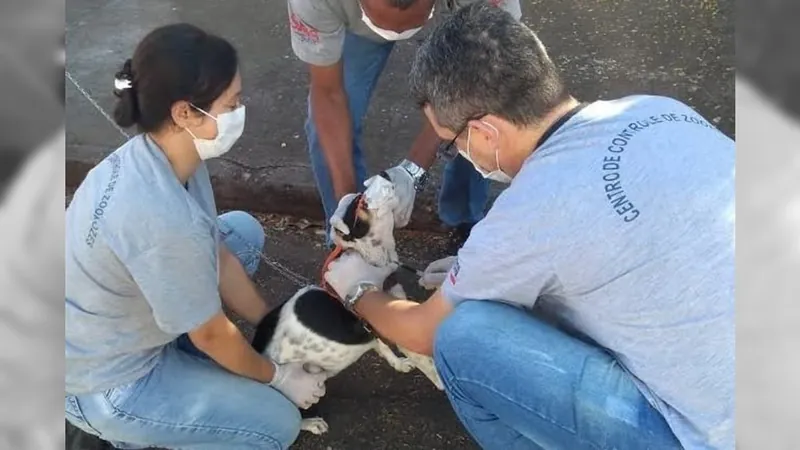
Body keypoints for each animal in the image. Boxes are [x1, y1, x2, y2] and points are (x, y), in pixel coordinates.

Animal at [248, 177, 440, 436]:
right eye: (362, 203)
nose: (386, 177)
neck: (373, 259)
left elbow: (385, 348)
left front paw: (399, 364)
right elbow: (423, 360)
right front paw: (439, 380)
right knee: (294, 414)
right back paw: (310, 423)